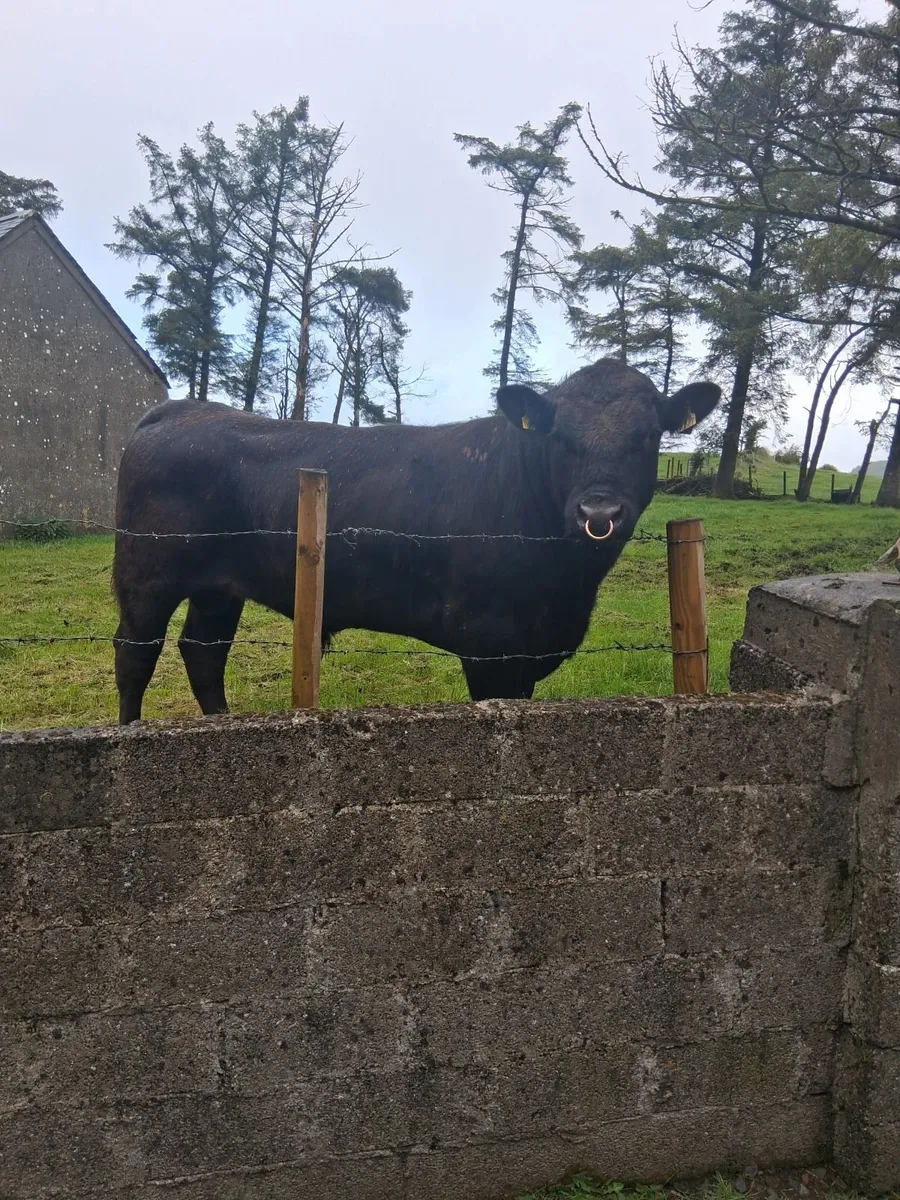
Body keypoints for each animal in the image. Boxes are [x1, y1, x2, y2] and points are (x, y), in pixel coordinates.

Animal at [112, 358, 720, 723]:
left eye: (647, 436)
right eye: (560, 437)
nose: (599, 512)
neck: (567, 587)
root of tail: (178, 409)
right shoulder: (488, 639)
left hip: (218, 586)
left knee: (203, 651)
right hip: (147, 573)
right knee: (136, 652)